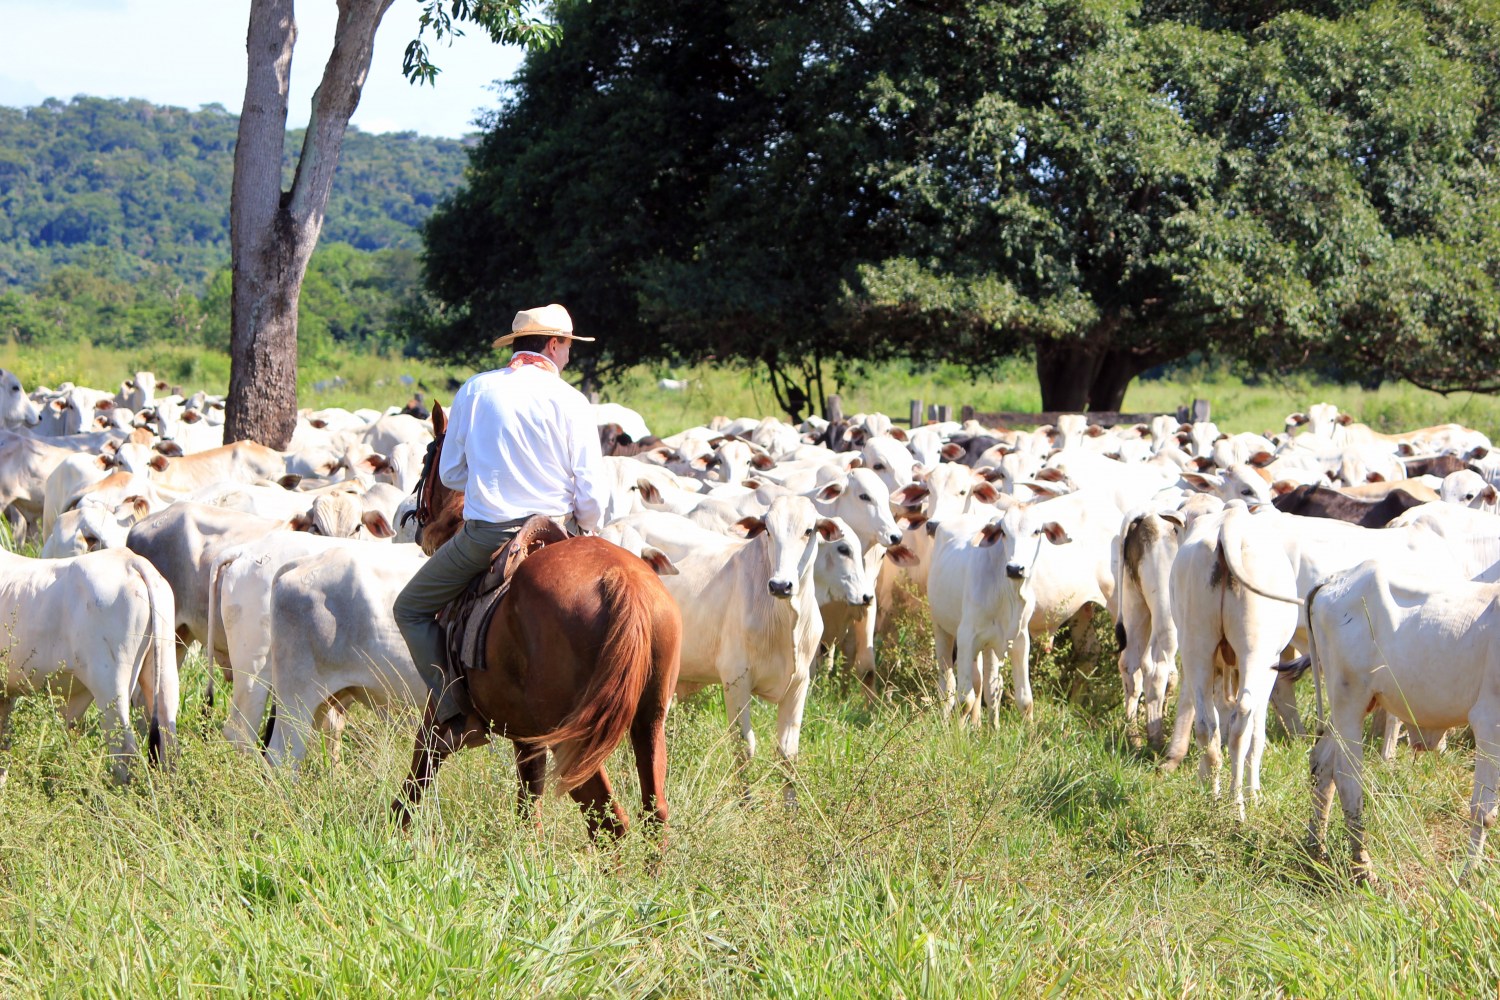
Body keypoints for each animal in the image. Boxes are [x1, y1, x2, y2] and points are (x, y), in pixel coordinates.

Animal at [393, 401, 687, 839]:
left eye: (429, 456)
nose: (416, 524)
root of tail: (623, 581)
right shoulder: (527, 738)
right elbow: (527, 806)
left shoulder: (438, 713)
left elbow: (417, 776)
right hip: (648, 722)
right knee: (654, 812)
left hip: (574, 738)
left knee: (608, 821)